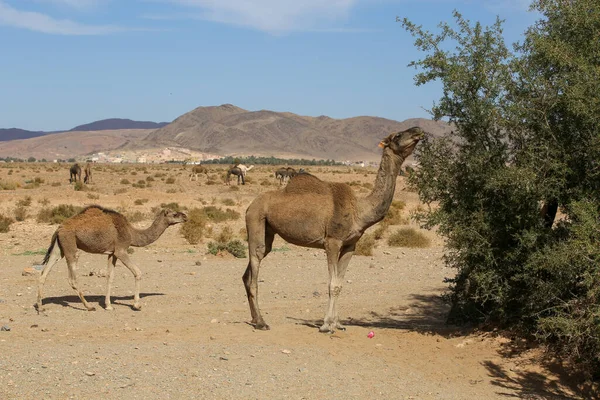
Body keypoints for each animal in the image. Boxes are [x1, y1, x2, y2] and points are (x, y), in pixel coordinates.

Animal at [36, 206, 186, 312]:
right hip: (70, 245)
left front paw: (108, 305)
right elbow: (137, 272)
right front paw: (136, 305)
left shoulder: (112, 253)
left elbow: (110, 276)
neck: (132, 233)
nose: (185, 216)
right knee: (72, 278)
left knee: (44, 273)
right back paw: (89, 306)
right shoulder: (121, 250)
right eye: (174, 214)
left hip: (59, 248)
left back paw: (40, 306)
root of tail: (58, 229)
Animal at [241, 127, 424, 332]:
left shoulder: (350, 245)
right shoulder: (332, 241)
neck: (359, 211)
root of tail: (250, 206)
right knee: (255, 264)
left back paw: (255, 319)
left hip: (268, 230)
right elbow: (332, 284)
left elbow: (339, 284)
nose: (417, 131)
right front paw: (326, 325)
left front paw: (338, 323)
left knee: (250, 270)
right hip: (256, 219)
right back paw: (262, 322)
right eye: (397, 135)